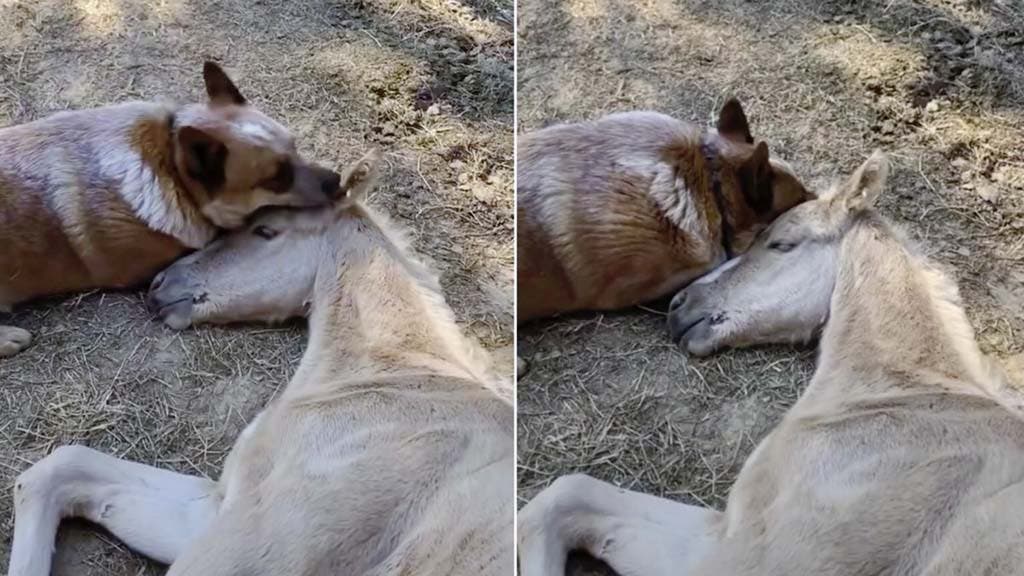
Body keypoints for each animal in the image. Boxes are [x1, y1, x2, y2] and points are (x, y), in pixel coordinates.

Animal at [9, 151, 512, 573]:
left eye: (265, 231)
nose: (160, 285)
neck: (399, 379)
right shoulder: (217, 509)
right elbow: (60, 468)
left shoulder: (254, 545)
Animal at [520, 151, 1024, 573]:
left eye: (782, 243)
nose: (679, 306)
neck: (901, 398)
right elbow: (572, 493)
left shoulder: (746, 555)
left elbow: (562, 498)